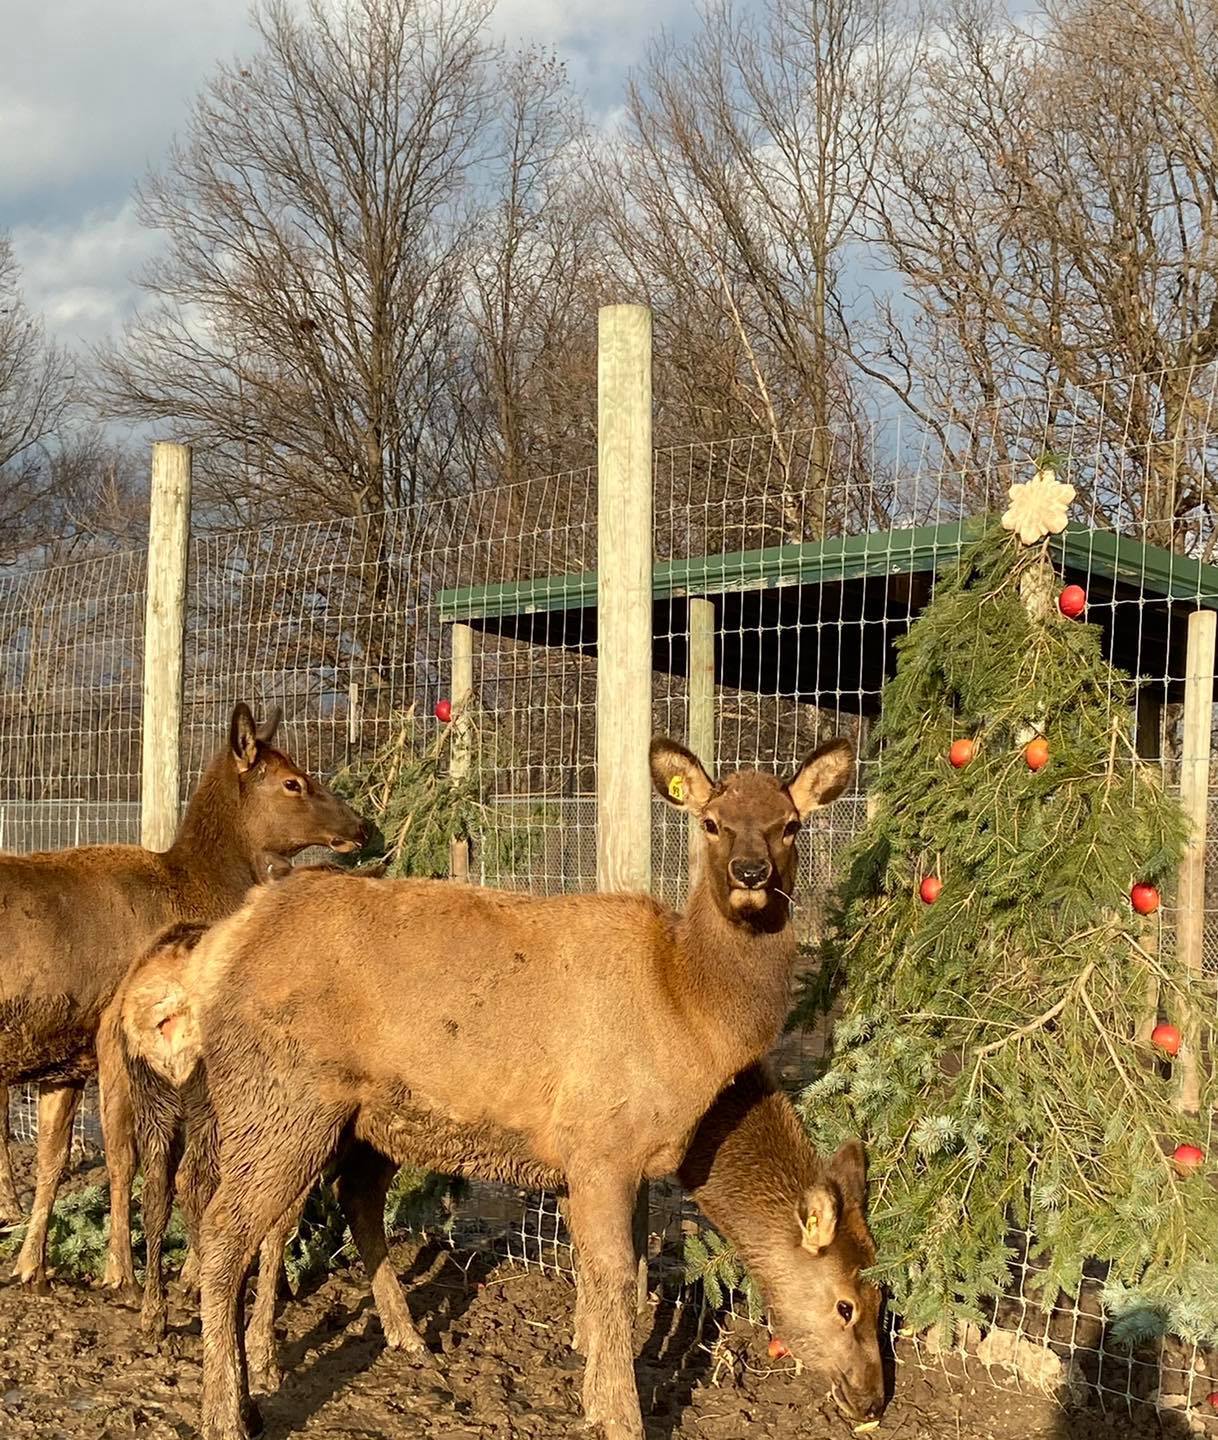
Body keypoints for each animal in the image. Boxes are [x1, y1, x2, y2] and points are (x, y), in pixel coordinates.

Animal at [0, 702, 367, 1290]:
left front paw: (31, 1265)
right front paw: (121, 1271)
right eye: (293, 781)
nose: (362, 826)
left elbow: (52, 1160)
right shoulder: (113, 1038)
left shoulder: (64, 1059)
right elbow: (128, 1160)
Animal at [159, 737, 858, 1434]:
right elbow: (614, 1275)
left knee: (335, 1204)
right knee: (225, 1229)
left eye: (791, 824)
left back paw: (372, 1348)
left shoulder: (609, 1159)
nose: (750, 873)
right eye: (710, 822)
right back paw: (227, 1409)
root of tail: (219, 948)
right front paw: (619, 1415)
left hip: (356, 1118)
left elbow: (614, 1268)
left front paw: (591, 1384)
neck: (692, 1010)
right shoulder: (601, 1141)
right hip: (281, 1097)